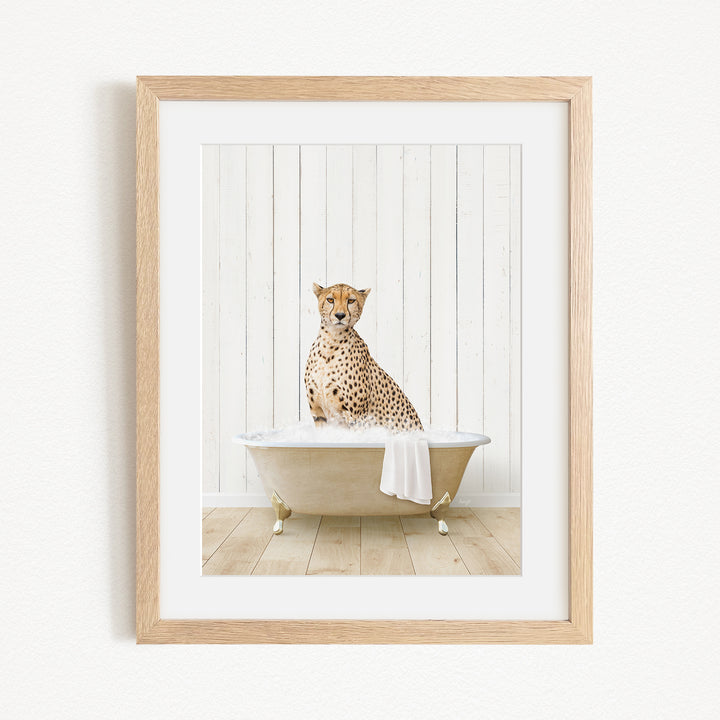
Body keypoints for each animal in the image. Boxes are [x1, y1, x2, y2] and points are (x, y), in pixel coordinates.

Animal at [304, 282, 423, 432]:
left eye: (351, 301)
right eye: (330, 300)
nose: (340, 315)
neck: (331, 342)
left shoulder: (357, 417)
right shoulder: (318, 413)